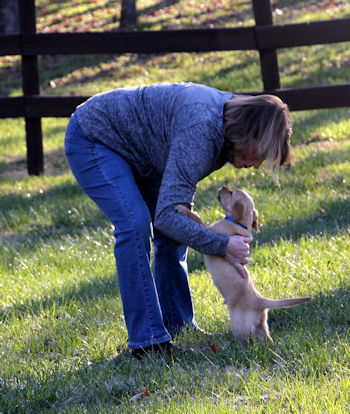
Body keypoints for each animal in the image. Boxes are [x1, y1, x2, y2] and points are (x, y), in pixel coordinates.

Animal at [176, 188, 310, 342]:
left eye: (231, 192)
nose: (222, 187)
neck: (240, 224)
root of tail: (260, 301)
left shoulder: (212, 231)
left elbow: (197, 219)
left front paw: (182, 209)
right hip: (261, 326)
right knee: (267, 339)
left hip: (239, 326)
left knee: (245, 341)